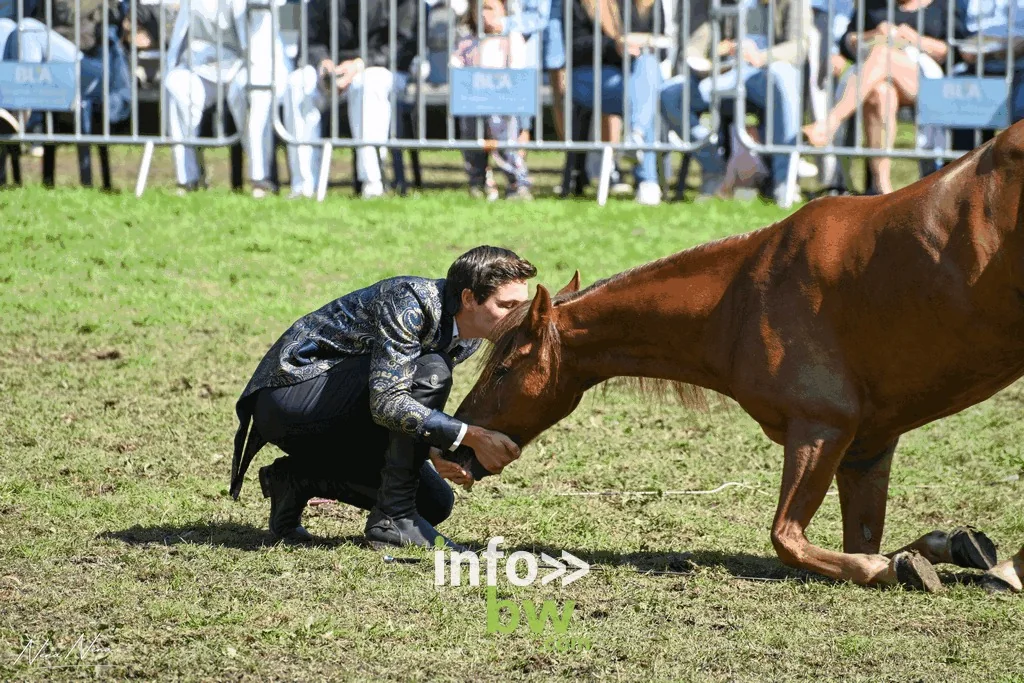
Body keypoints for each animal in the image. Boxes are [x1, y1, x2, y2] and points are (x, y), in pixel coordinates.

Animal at [448, 120, 1024, 593]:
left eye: (503, 369)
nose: (455, 447)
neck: (742, 298)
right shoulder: (867, 449)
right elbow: (869, 539)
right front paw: (945, 548)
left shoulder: (822, 429)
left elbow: (789, 539)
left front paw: (894, 566)